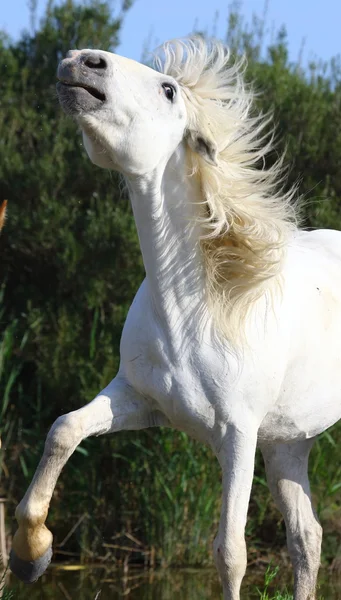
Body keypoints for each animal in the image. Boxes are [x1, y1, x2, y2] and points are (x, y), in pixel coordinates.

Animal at [9, 38, 338, 600]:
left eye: (168, 90)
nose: (81, 61)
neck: (196, 312)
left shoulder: (238, 435)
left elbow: (230, 553)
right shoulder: (138, 400)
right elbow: (63, 430)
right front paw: (31, 555)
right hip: (289, 444)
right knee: (306, 536)